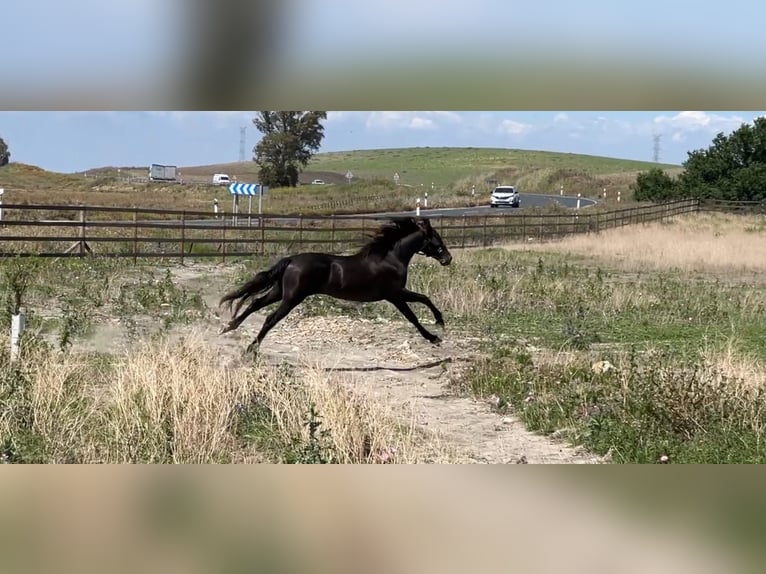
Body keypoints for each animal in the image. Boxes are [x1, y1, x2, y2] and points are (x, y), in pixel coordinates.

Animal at [219, 217, 453, 354]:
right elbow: (416, 311)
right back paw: (250, 349)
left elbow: (422, 301)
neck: (390, 258)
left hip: (279, 292)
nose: (448, 259)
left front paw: (438, 326)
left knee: (255, 303)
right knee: (269, 318)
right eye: (436, 239)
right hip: (292, 297)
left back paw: (229, 327)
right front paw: (435, 333)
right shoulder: (394, 294)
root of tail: (292, 260)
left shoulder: (396, 294)